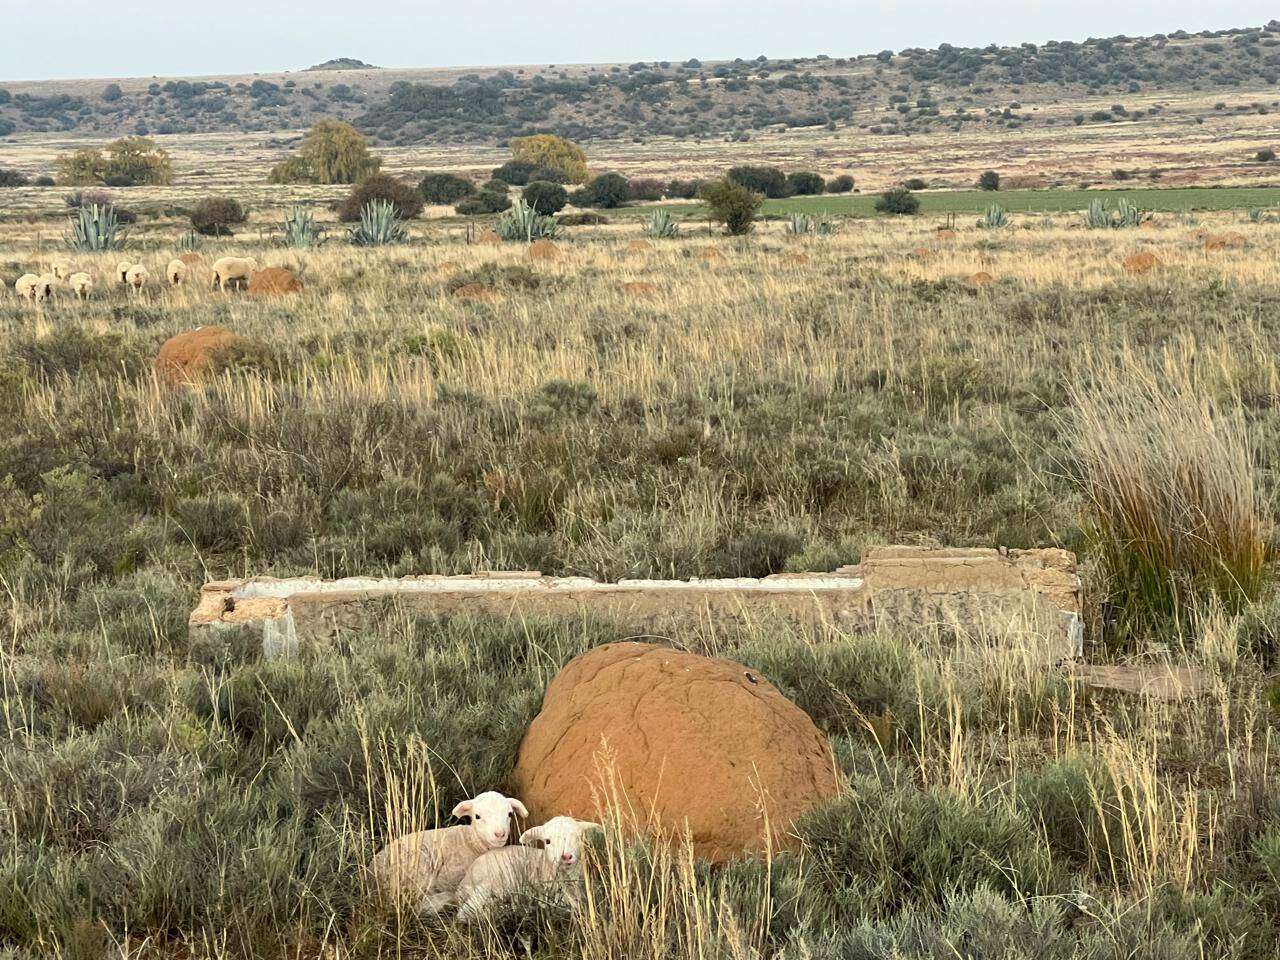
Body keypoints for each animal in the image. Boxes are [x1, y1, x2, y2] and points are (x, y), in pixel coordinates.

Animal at [458, 819, 601, 926]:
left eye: (579, 838)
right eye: (547, 841)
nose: (566, 856)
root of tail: (465, 879)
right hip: (493, 882)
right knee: (464, 912)